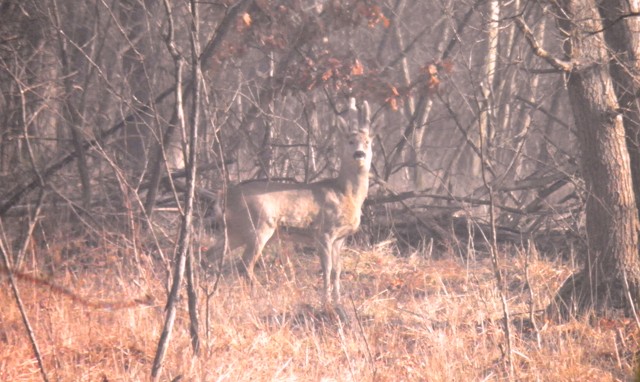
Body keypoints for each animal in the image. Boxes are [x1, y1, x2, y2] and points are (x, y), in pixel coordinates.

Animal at [218, 99, 372, 310]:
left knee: (211, 255)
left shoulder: (340, 238)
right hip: (259, 226)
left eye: (368, 141)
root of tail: (228, 196)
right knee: (245, 264)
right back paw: (261, 295)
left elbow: (337, 270)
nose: (359, 154)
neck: (345, 193)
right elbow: (327, 268)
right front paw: (325, 301)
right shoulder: (323, 232)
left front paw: (338, 301)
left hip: (235, 231)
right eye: (350, 141)